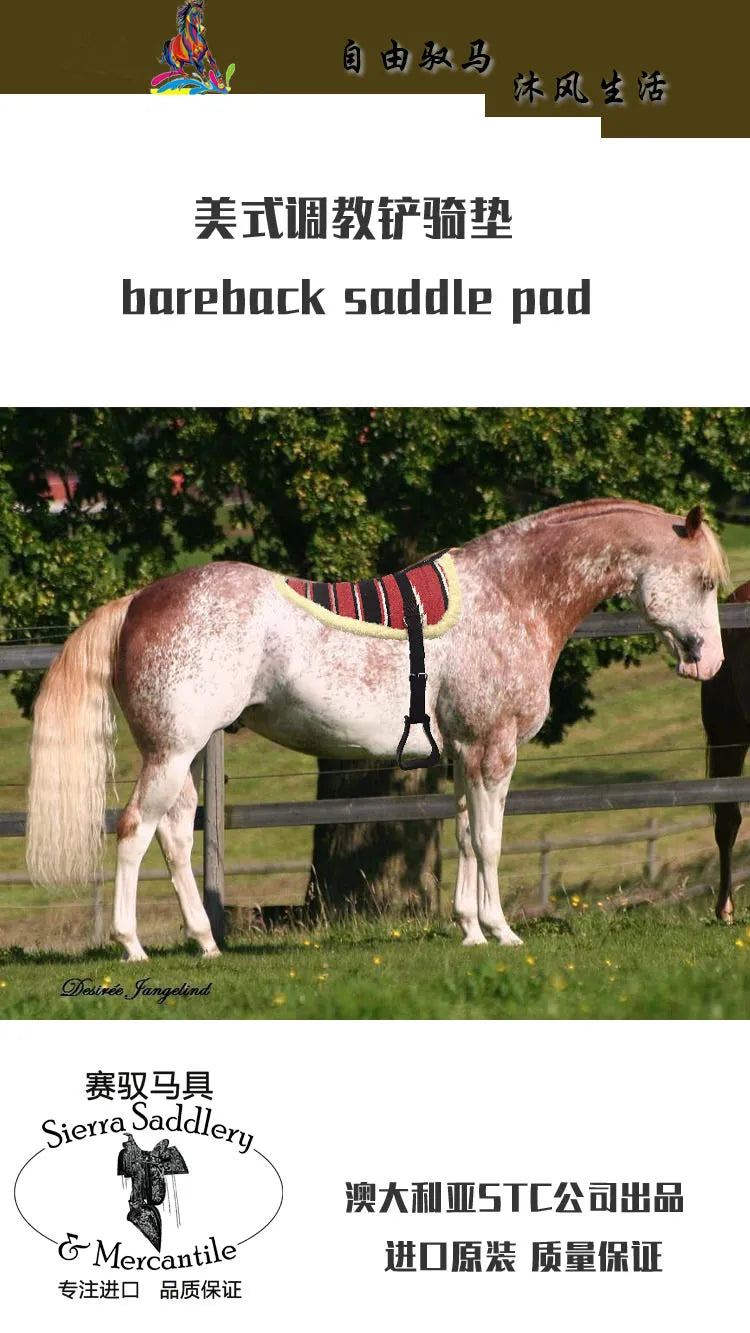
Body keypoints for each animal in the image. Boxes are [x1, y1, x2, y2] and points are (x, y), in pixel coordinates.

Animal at [26, 498, 727, 962]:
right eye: (704, 579)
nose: (710, 662)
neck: (512, 595)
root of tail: (140, 601)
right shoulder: (493, 750)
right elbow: (492, 841)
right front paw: (502, 931)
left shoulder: (464, 755)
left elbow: (466, 838)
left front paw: (470, 930)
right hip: (171, 751)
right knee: (132, 831)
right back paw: (132, 947)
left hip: (183, 754)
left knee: (172, 835)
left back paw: (205, 944)